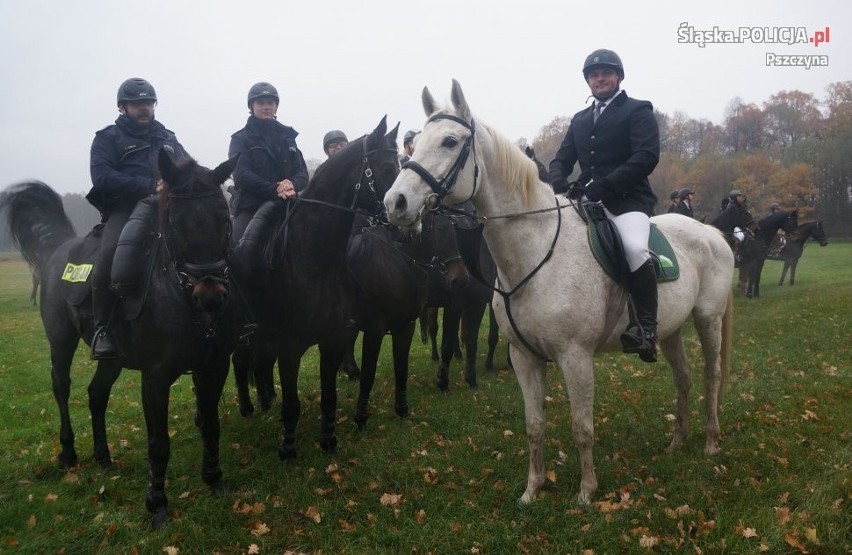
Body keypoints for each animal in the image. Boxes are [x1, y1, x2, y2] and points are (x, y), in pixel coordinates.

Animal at [0, 153, 236, 528]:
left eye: (224, 218)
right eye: (175, 223)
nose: (211, 296)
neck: (176, 293)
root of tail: (58, 250)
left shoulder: (213, 366)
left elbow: (211, 426)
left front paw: (214, 480)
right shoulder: (155, 377)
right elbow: (158, 443)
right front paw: (157, 504)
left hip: (112, 360)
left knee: (96, 395)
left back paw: (103, 457)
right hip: (61, 343)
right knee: (61, 388)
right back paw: (68, 453)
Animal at [231, 117, 402, 460]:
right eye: (389, 167)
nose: (410, 214)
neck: (313, 259)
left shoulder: (332, 339)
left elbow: (329, 395)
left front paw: (328, 440)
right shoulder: (290, 347)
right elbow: (292, 403)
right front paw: (287, 447)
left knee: (258, 362)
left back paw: (265, 399)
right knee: (240, 362)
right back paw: (246, 407)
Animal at [384, 80, 732, 506]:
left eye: (450, 141)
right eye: (414, 146)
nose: (395, 203)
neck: (535, 253)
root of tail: (710, 231)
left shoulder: (575, 356)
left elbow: (582, 426)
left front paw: (586, 492)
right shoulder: (525, 357)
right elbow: (534, 425)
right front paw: (532, 490)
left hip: (707, 319)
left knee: (711, 375)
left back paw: (711, 443)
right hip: (670, 330)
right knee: (683, 377)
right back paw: (676, 443)